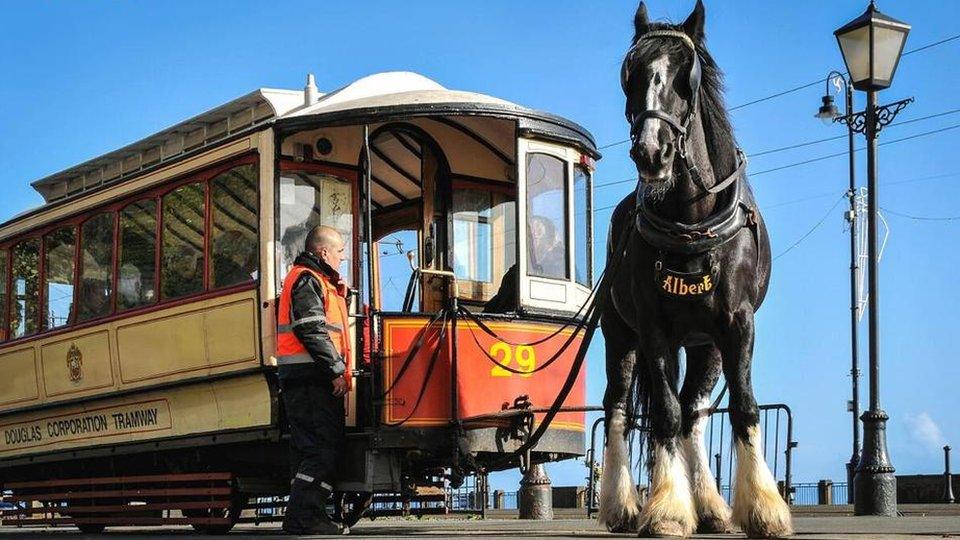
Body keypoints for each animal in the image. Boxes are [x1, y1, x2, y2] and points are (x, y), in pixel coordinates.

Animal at [600, 2, 796, 536]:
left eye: (685, 75)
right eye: (630, 73)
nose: (651, 152)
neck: (691, 219)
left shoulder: (737, 323)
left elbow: (743, 405)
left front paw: (763, 509)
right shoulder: (653, 329)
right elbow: (663, 414)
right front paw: (667, 510)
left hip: (704, 343)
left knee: (695, 410)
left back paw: (709, 506)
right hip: (620, 337)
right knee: (619, 407)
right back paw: (622, 505)